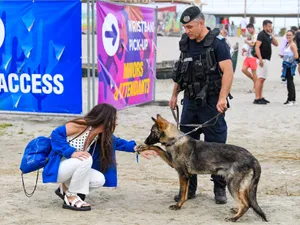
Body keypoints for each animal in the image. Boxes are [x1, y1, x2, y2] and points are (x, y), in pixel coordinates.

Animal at [136, 114, 268, 221]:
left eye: (152, 132)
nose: (145, 141)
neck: (175, 140)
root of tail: (252, 157)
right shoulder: (175, 166)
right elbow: (157, 148)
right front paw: (143, 147)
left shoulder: (182, 175)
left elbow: (182, 192)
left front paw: (178, 206)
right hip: (241, 187)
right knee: (246, 202)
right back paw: (236, 211)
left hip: (232, 184)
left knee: (245, 204)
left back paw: (234, 218)